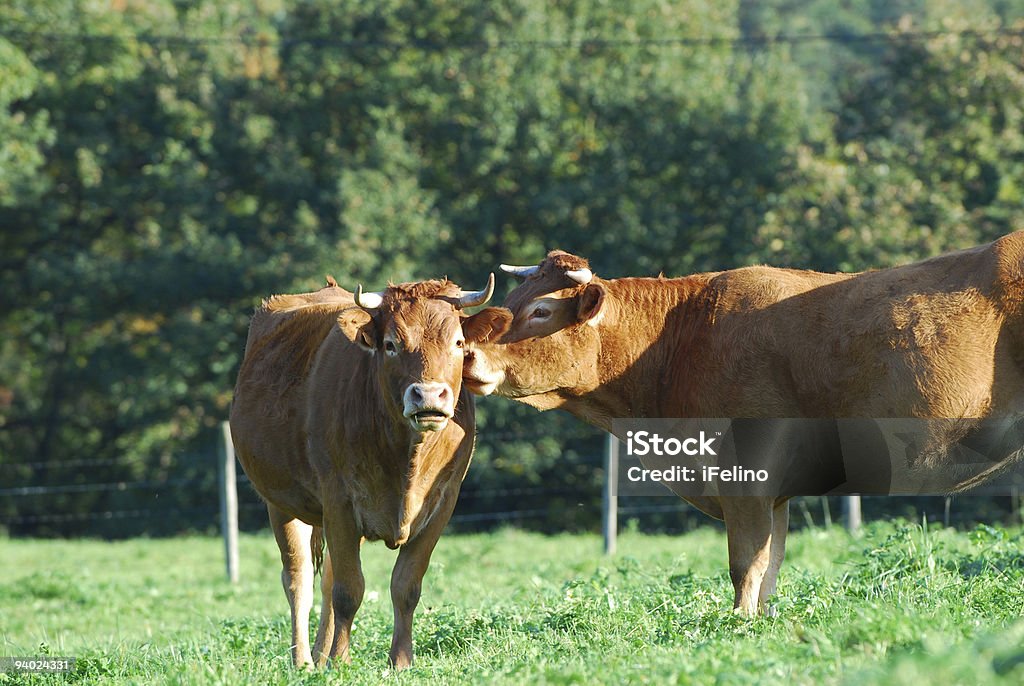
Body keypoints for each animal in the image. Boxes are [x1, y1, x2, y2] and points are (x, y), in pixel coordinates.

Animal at [228, 276, 507, 667]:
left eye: (457, 342)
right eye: (391, 344)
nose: (429, 396)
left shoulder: (442, 504)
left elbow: (405, 586)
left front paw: (400, 661)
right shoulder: (340, 500)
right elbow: (349, 590)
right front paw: (340, 661)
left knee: (325, 581)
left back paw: (319, 655)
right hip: (281, 502)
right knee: (299, 580)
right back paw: (304, 661)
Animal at [464, 232, 1024, 618]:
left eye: (540, 311)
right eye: (509, 304)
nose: (465, 355)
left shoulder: (746, 477)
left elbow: (746, 564)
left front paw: (738, 625)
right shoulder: (774, 492)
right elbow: (770, 566)